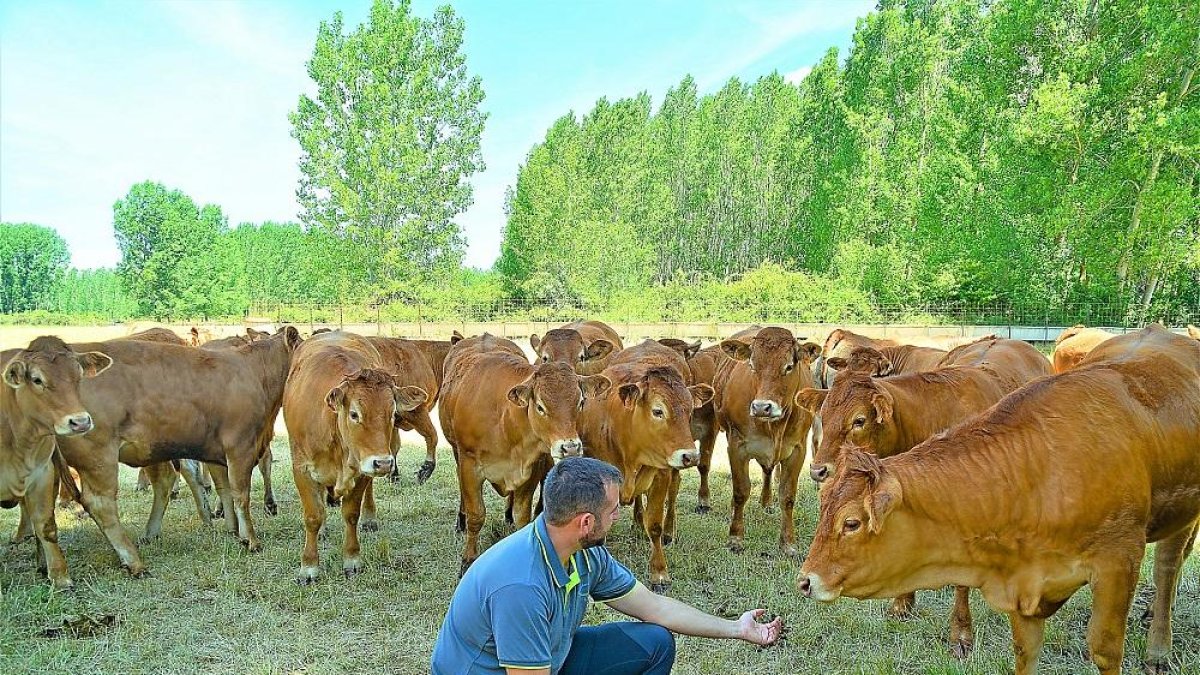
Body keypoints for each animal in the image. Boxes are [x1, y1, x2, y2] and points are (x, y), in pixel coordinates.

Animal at [1, 337, 111, 589]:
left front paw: (60, 576)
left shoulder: (42, 474)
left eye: (78, 376)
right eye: (37, 379)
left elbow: (45, 525)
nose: (80, 422)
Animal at [283, 332, 428, 583]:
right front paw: (309, 567)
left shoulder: (362, 470)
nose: (383, 463)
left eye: (393, 413)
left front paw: (351, 560)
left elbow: (351, 514)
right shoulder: (301, 469)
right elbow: (313, 516)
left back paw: (369, 519)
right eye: (354, 414)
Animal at [440, 333, 608, 574]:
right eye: (540, 407)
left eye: (581, 402)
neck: (504, 419)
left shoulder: (532, 470)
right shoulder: (470, 466)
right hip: (456, 453)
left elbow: (523, 517)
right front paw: (468, 559)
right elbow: (476, 515)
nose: (570, 447)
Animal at [579, 352, 713, 593]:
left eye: (690, 411)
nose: (690, 456)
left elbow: (655, 526)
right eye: (658, 411)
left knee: (672, 495)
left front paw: (659, 572)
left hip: (672, 473)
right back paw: (638, 523)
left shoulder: (661, 474)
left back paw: (669, 531)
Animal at [715, 326, 821, 557]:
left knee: (768, 471)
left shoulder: (798, 449)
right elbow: (740, 491)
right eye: (752, 365)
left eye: (788, 366)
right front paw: (735, 537)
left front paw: (788, 542)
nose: (762, 407)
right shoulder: (736, 446)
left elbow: (787, 495)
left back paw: (766, 502)